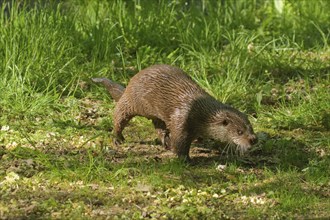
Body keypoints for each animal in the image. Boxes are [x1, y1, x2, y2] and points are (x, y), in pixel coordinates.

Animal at [93, 64, 258, 161]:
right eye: (239, 131)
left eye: (251, 128)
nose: (253, 139)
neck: (201, 114)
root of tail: (129, 84)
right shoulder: (182, 120)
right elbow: (180, 142)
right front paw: (184, 159)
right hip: (132, 101)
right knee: (119, 115)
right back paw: (117, 138)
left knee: (158, 126)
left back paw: (165, 141)